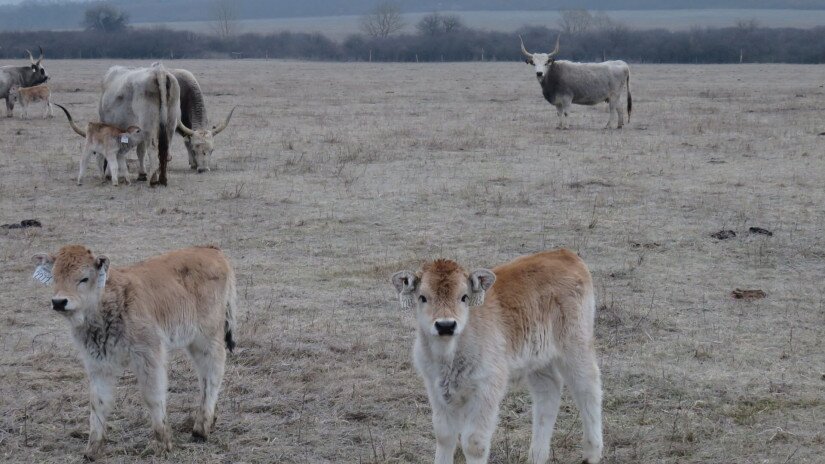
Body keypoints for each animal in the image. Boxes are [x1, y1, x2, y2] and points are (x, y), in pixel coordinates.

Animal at [31, 245, 237, 458]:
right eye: (55, 277)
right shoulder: (97, 362)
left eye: (84, 278)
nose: (59, 302)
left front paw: (163, 444)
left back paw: (200, 429)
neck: (112, 299)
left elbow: (153, 396)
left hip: (207, 338)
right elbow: (98, 402)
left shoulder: (149, 355)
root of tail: (210, 250)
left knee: (212, 373)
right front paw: (92, 450)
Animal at [390, 252, 600, 462]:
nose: (445, 325)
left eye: (464, 297)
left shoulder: (487, 387)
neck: (449, 357)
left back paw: (592, 454)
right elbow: (444, 435)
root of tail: (564, 253)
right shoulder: (434, 387)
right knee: (548, 393)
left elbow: (474, 443)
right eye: (422, 297)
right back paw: (537, 457)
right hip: (538, 359)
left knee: (588, 387)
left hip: (576, 345)